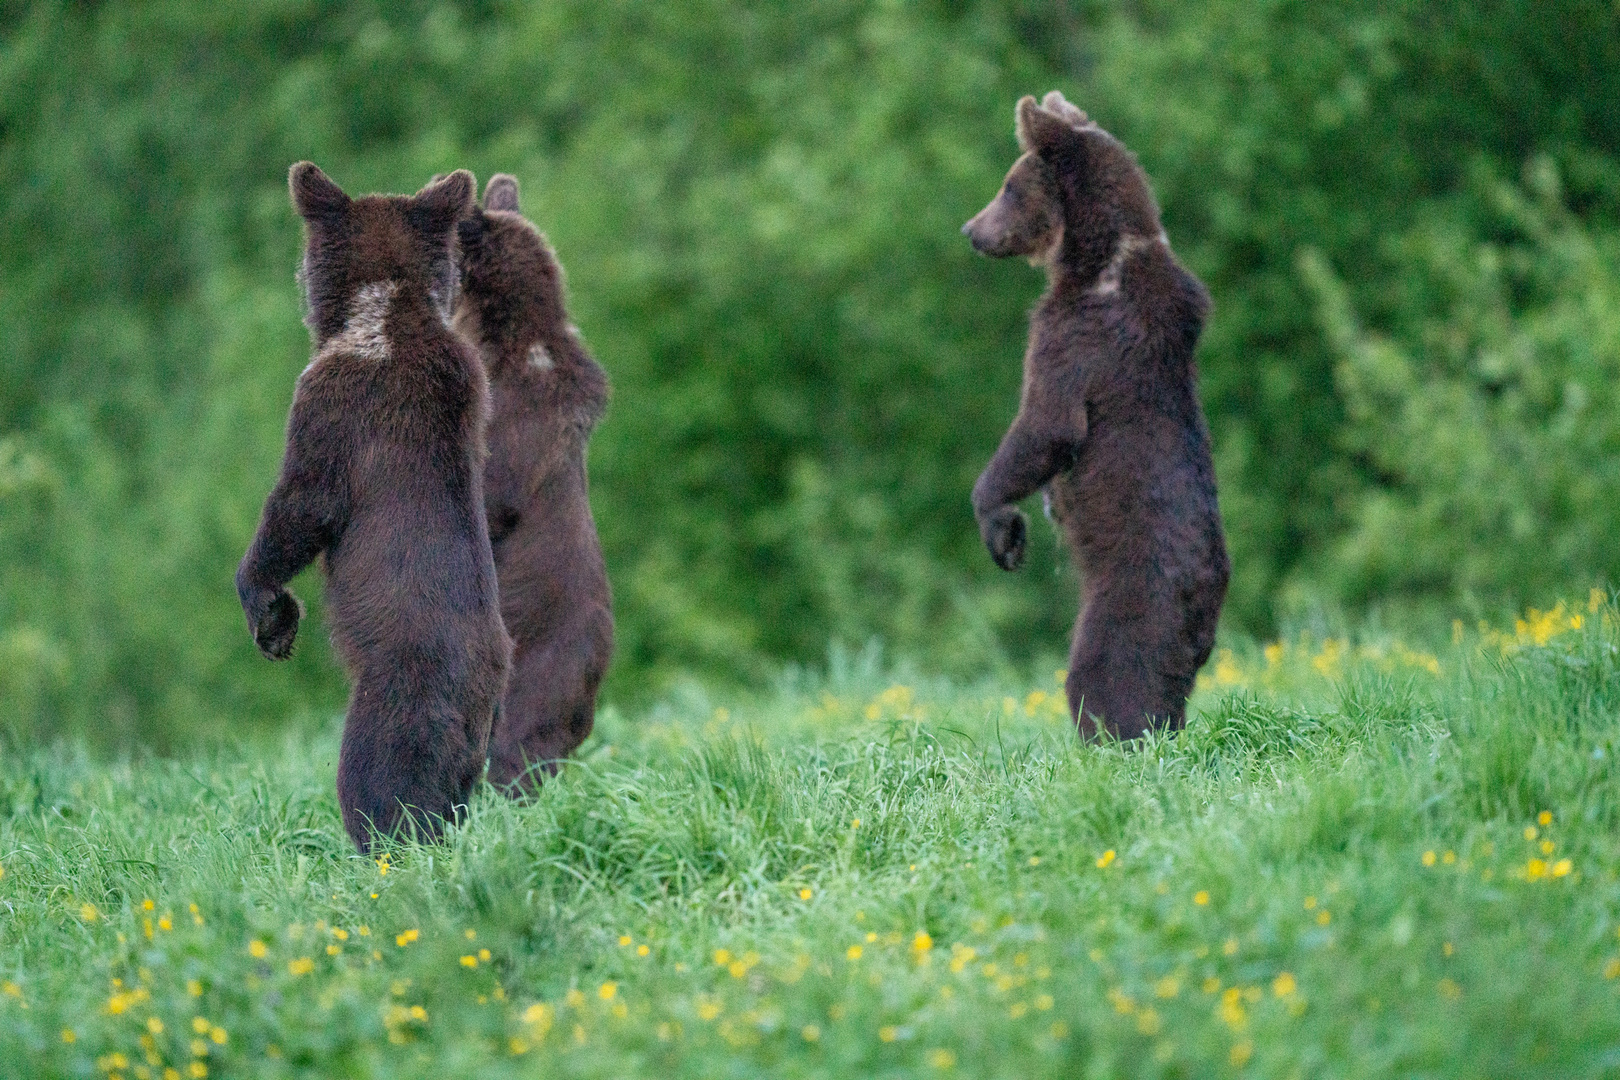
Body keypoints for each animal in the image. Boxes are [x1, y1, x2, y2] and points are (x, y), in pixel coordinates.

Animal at [234, 162, 508, 854]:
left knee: (376, 778)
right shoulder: (470, 387)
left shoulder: (336, 403)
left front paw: (270, 612)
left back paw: (380, 844)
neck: (380, 310)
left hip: (397, 695)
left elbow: (303, 502)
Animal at [959, 93, 1224, 738]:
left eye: (1008, 186)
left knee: (1105, 678)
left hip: (1132, 602)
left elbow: (1046, 425)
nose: (971, 230)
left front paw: (1002, 527)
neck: (1093, 256)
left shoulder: (1075, 337)